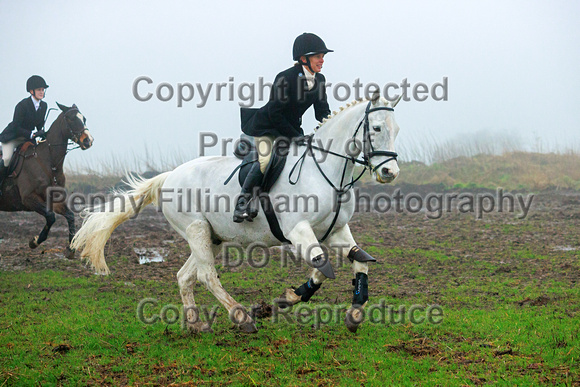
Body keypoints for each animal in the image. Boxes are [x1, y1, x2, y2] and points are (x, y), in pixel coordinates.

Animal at [0, 104, 93, 260]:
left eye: (84, 118)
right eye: (71, 119)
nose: (88, 141)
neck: (50, 163)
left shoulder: (55, 200)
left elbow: (70, 216)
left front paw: (70, 249)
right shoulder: (29, 199)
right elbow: (50, 217)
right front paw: (34, 242)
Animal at [71, 94, 398, 334]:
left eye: (396, 130)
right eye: (377, 129)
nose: (389, 173)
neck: (327, 171)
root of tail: (169, 176)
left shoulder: (336, 230)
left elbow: (357, 261)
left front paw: (348, 311)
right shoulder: (298, 231)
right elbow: (322, 265)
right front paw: (290, 298)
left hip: (211, 237)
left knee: (185, 276)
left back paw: (195, 324)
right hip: (195, 230)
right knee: (206, 276)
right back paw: (242, 318)